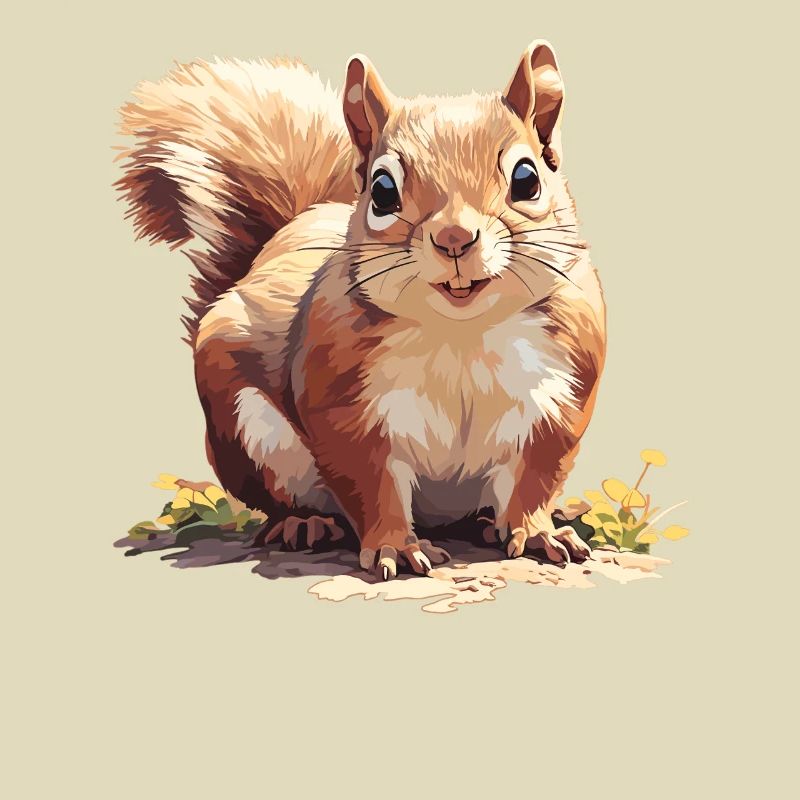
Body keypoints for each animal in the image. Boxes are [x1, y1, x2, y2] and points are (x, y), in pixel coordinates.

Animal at [116, 40, 606, 580]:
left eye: (527, 178)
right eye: (382, 190)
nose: (454, 238)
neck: (461, 333)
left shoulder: (561, 399)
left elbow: (534, 481)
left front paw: (539, 533)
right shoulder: (344, 406)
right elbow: (373, 485)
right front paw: (395, 547)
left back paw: (485, 523)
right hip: (248, 434)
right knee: (280, 499)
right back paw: (303, 524)